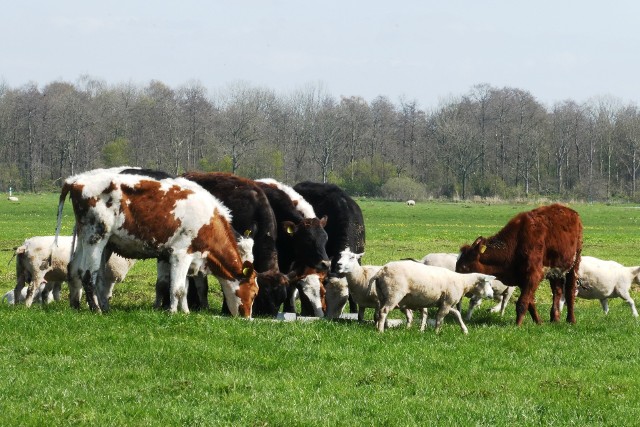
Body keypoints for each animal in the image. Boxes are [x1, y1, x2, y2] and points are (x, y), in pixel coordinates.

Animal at [8, 236, 136, 306]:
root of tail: (25, 246)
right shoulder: (109, 276)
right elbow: (105, 294)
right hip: (37, 271)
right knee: (31, 289)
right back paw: (26, 306)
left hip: (21, 270)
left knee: (18, 288)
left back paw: (16, 305)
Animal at [55, 167, 258, 318]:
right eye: (254, 292)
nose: (247, 317)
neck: (208, 220)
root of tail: (75, 180)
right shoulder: (180, 254)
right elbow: (176, 288)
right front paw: (173, 313)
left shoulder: (187, 257)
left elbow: (184, 288)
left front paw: (185, 311)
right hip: (96, 237)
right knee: (89, 274)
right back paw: (96, 309)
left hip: (88, 240)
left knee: (77, 270)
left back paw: (80, 306)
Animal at [456, 206, 584, 326]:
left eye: (464, 267)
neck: (516, 243)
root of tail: (571, 212)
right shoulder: (522, 279)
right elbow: (530, 302)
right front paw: (538, 322)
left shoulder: (533, 275)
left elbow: (522, 302)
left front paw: (518, 325)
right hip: (555, 270)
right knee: (557, 291)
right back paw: (555, 318)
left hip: (574, 264)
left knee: (570, 291)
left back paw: (571, 319)